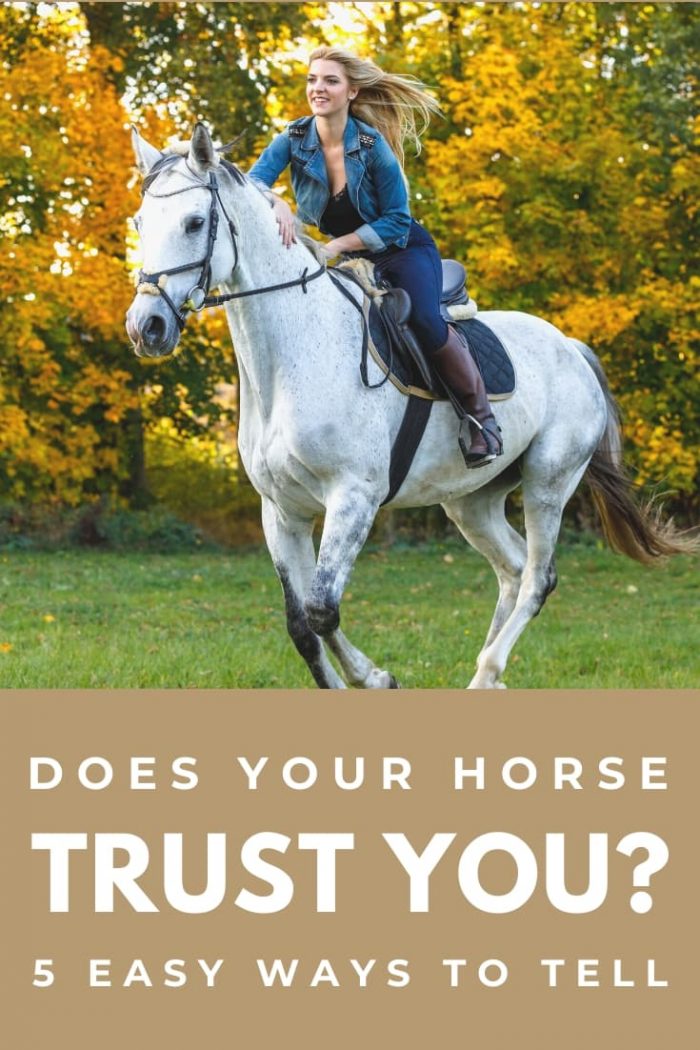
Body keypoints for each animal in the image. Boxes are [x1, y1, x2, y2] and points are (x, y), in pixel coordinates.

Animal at [125, 124, 693, 689]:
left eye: (195, 222)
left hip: (549, 480)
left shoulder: (354, 497)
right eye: (140, 223)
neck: (290, 360)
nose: (146, 326)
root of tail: (571, 347)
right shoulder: (281, 510)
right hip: (472, 500)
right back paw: (486, 678)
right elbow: (302, 626)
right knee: (511, 569)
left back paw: (488, 670)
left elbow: (322, 608)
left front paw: (375, 678)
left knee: (537, 577)